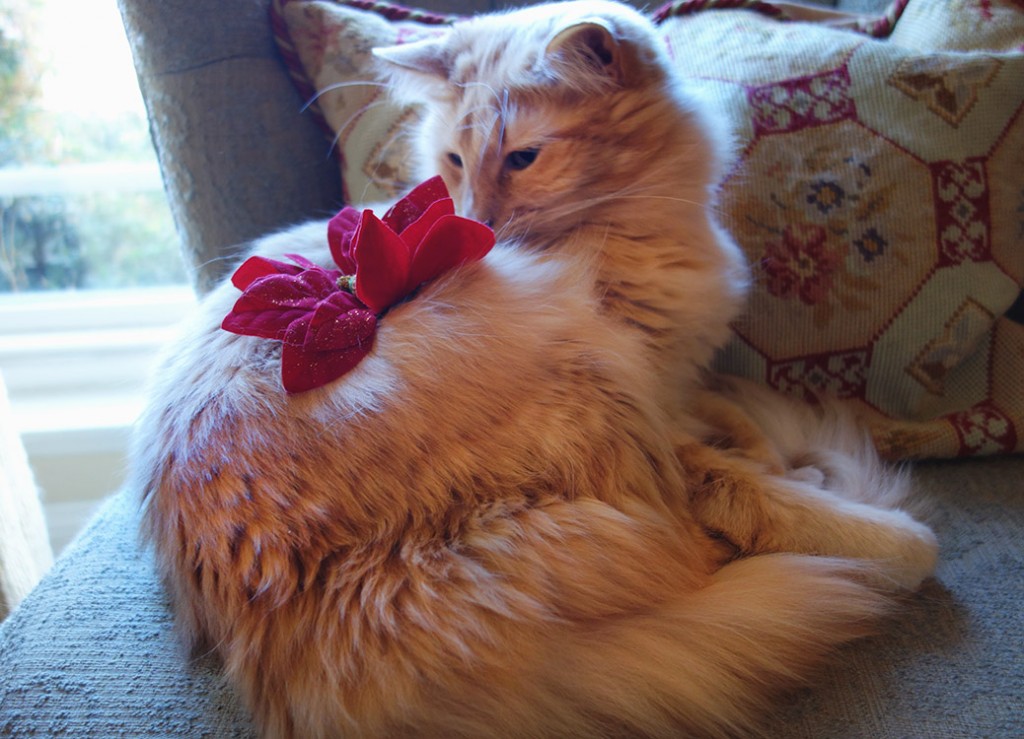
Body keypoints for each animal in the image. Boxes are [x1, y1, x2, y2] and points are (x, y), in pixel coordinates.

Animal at [132, 2, 937, 732]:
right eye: (455, 161)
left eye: (523, 157)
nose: (480, 221)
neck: (638, 233)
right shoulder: (653, 407)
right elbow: (756, 488)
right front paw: (871, 525)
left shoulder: (672, 378)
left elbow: (735, 418)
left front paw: (773, 451)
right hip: (597, 400)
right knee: (703, 542)